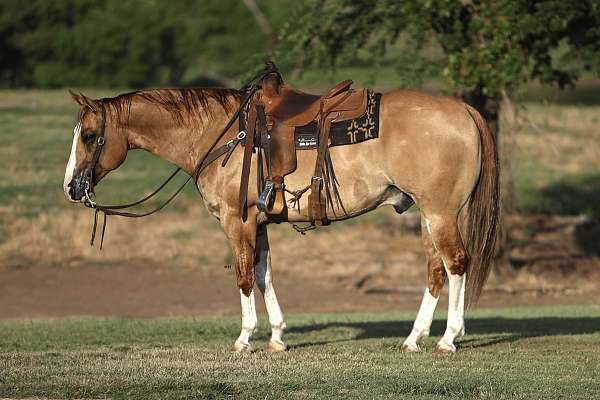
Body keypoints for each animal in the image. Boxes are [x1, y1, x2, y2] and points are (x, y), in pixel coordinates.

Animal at [63, 80, 500, 354]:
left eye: (89, 136)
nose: (70, 187)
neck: (222, 135)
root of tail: (464, 110)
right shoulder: (258, 225)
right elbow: (263, 274)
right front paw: (276, 336)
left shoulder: (236, 222)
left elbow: (243, 276)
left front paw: (244, 339)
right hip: (428, 215)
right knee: (436, 270)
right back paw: (414, 339)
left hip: (441, 213)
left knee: (456, 264)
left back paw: (448, 339)